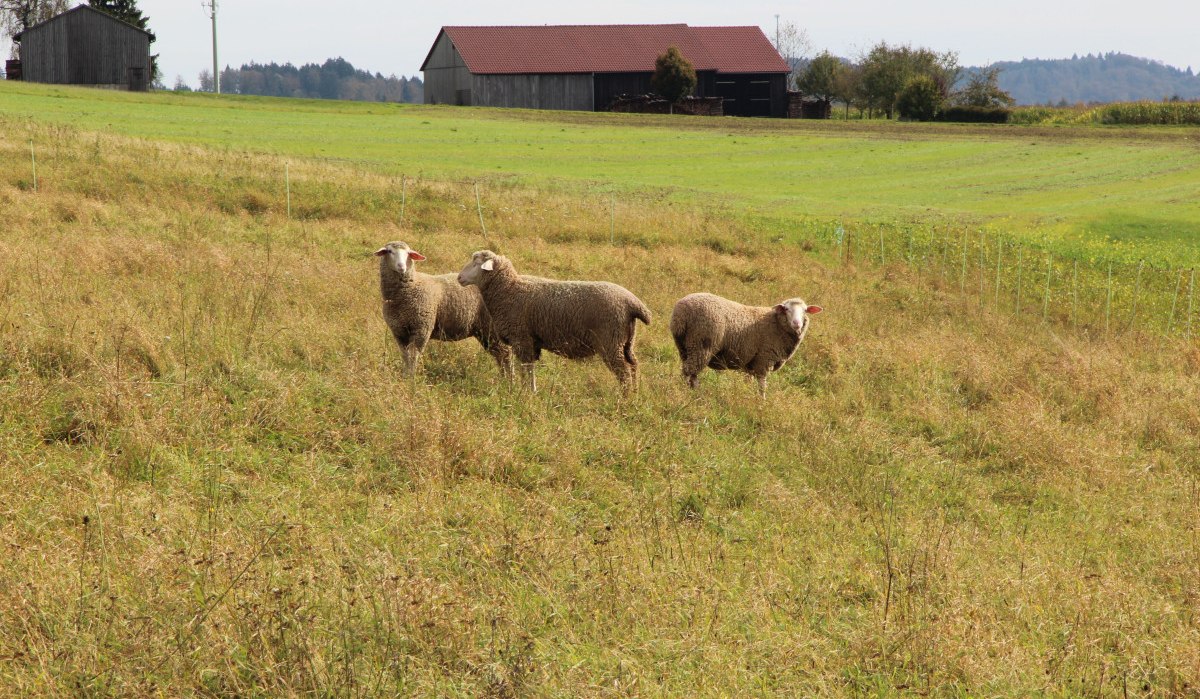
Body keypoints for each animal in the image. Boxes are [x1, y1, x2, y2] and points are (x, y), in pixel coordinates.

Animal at [372, 242, 508, 384]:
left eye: (408, 253)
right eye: (389, 251)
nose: (401, 267)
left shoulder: (422, 329)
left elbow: (413, 356)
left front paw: (411, 380)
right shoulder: (399, 331)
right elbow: (405, 356)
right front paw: (405, 377)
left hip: (492, 329)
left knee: (505, 355)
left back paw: (508, 380)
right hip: (484, 331)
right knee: (499, 355)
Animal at [453, 251, 652, 393]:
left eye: (476, 263)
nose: (459, 278)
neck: (509, 290)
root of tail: (633, 303)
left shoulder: (521, 338)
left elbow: (526, 368)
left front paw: (524, 393)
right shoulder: (530, 342)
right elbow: (530, 369)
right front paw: (532, 391)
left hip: (611, 341)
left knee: (624, 372)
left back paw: (624, 398)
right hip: (626, 342)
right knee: (633, 366)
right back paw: (635, 394)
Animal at [667, 291, 825, 396]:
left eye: (805, 310)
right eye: (786, 309)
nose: (797, 324)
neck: (776, 324)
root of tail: (680, 313)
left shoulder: (752, 363)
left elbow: (748, 381)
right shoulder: (764, 359)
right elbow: (762, 386)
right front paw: (761, 403)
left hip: (686, 346)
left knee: (691, 371)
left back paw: (695, 392)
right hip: (702, 343)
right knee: (689, 370)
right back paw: (685, 391)